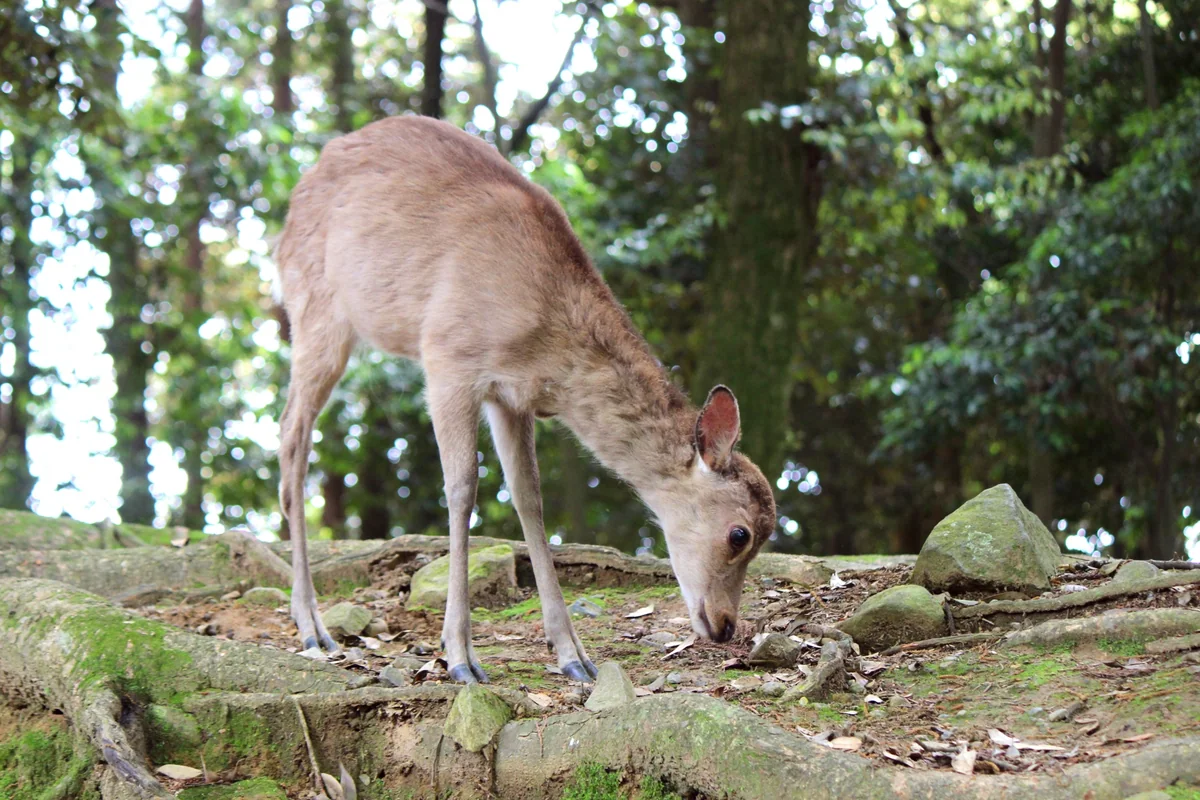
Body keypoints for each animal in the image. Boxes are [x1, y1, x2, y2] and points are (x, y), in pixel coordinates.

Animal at [274, 115, 776, 684]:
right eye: (739, 534)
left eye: (764, 535)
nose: (726, 626)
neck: (545, 347)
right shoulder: (447, 359)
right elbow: (462, 487)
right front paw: (459, 656)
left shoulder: (512, 398)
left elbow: (529, 498)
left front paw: (574, 655)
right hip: (316, 310)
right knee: (291, 436)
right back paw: (312, 626)